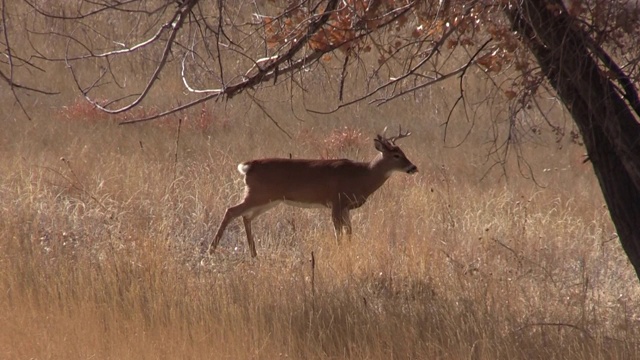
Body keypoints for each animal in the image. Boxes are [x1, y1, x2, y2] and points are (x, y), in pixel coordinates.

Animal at [208, 126, 418, 256]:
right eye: (396, 155)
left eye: (403, 152)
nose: (413, 167)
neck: (362, 176)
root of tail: (248, 166)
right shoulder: (335, 201)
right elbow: (338, 232)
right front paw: (340, 251)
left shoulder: (345, 207)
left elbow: (350, 231)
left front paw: (349, 250)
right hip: (258, 194)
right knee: (231, 210)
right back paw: (211, 250)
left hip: (267, 198)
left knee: (245, 216)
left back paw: (253, 253)